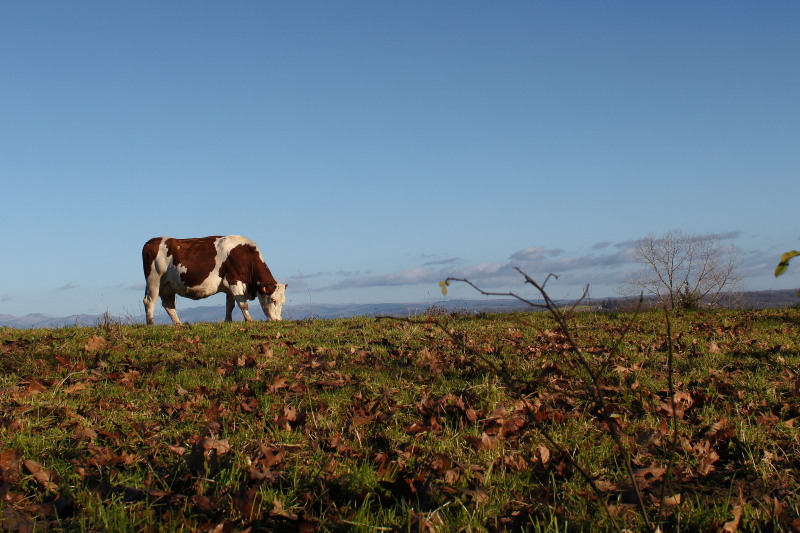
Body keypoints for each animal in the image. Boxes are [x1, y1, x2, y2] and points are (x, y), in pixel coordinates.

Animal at [143, 236, 288, 324]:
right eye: (273, 300)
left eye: (283, 302)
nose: (278, 320)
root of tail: (153, 240)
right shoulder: (234, 280)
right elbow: (243, 304)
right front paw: (249, 320)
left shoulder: (230, 287)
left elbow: (230, 305)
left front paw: (228, 321)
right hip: (154, 281)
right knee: (149, 301)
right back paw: (151, 324)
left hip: (169, 287)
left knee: (169, 305)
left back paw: (178, 324)